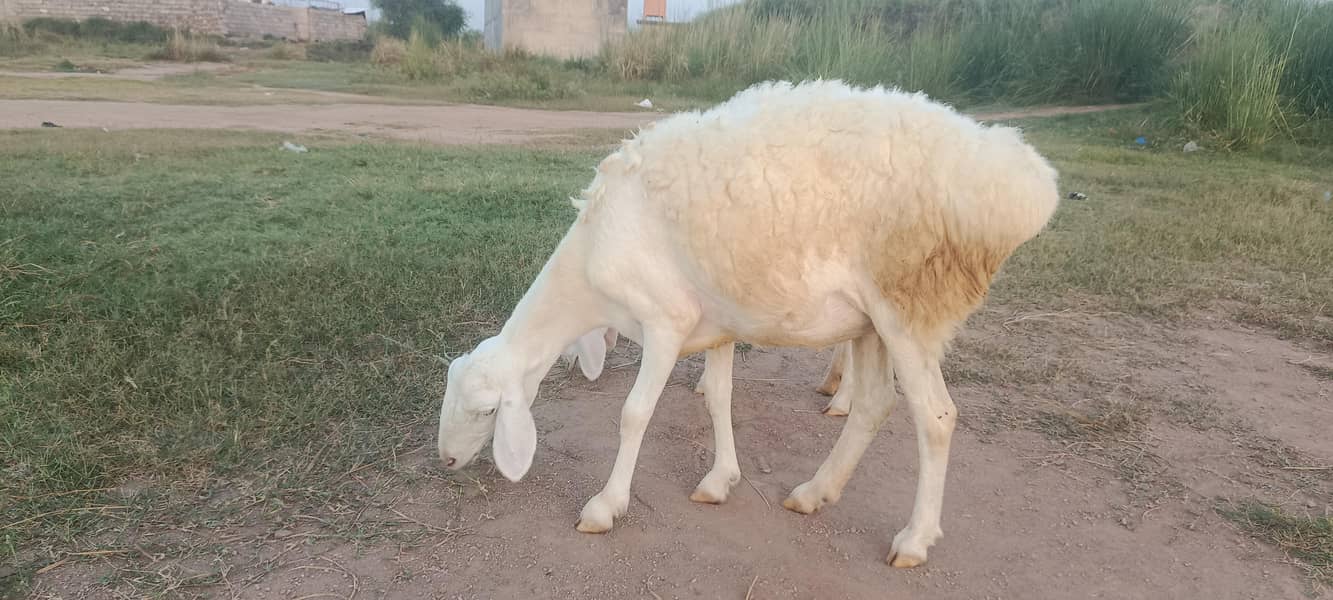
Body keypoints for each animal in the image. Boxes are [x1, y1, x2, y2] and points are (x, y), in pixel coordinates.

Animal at [436, 79, 1060, 568]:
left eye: (486, 411)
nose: (445, 460)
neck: (589, 270)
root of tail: (1023, 185)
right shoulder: (716, 322)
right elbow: (719, 399)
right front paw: (720, 481)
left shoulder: (666, 319)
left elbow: (634, 414)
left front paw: (605, 506)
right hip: (871, 321)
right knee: (874, 404)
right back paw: (815, 491)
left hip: (910, 305)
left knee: (936, 419)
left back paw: (913, 540)